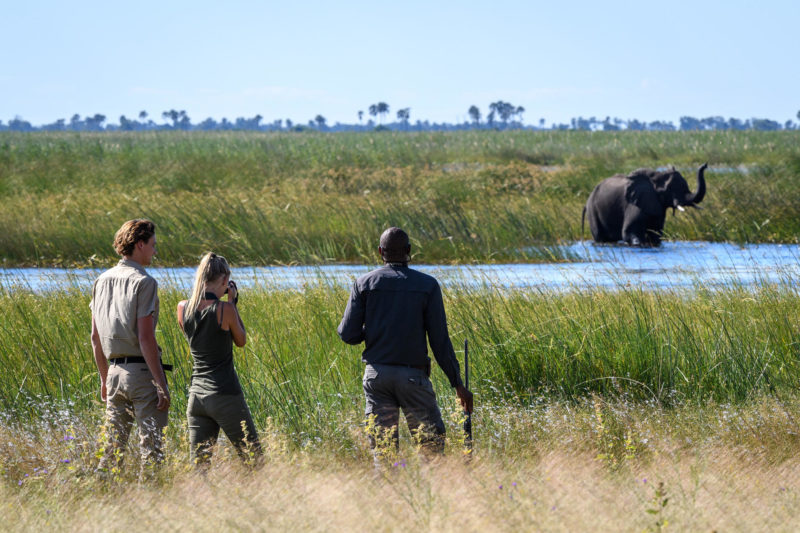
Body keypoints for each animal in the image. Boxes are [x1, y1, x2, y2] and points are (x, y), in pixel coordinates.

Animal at [580, 162, 708, 245]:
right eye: (670, 189)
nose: (705, 165)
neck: (656, 177)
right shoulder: (635, 203)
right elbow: (629, 232)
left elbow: (656, 233)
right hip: (593, 211)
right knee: (600, 236)